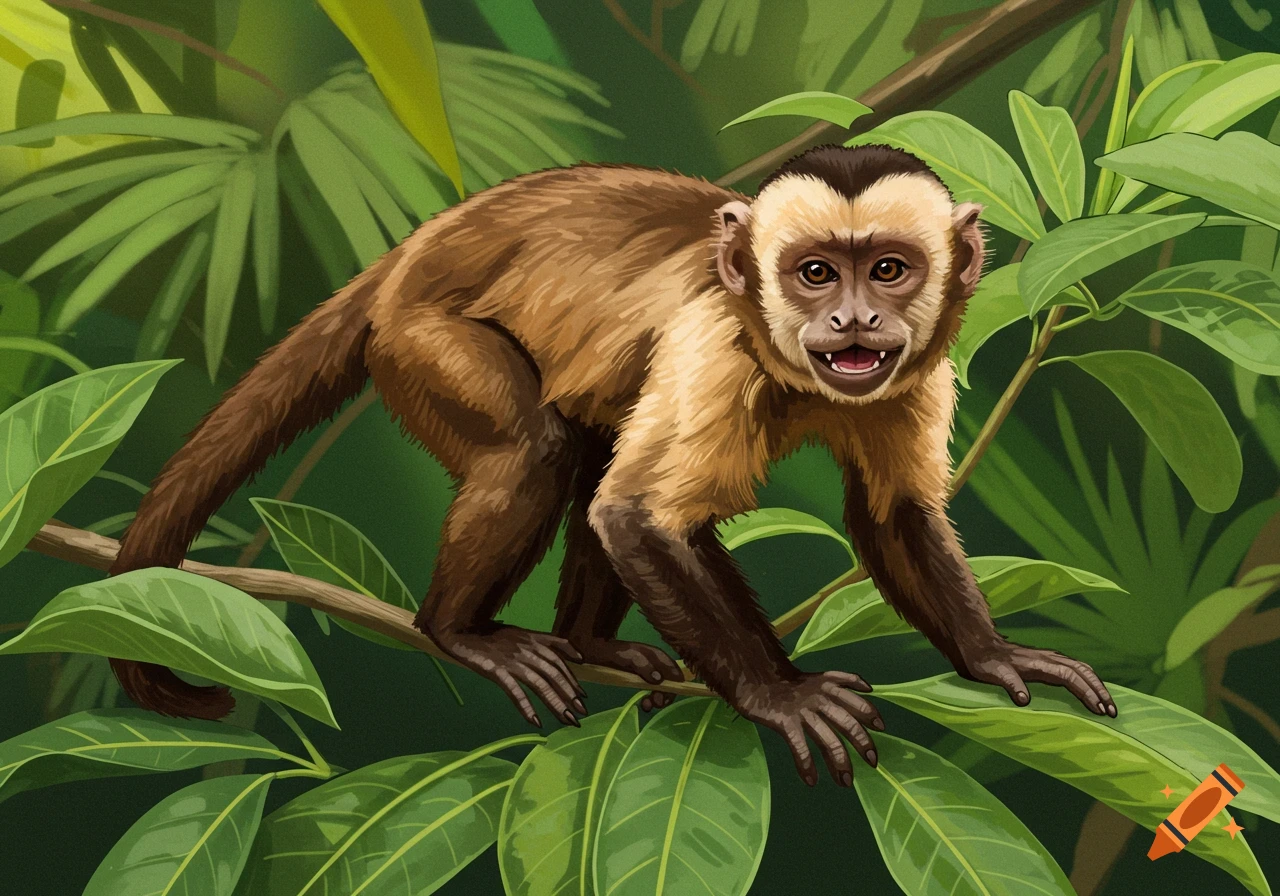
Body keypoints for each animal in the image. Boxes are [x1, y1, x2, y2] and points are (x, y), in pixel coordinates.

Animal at [108, 144, 1116, 787]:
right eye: (817, 273)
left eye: (891, 271)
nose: (855, 322)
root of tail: (406, 256)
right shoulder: (715, 342)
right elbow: (641, 519)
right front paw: (778, 695)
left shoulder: (921, 366)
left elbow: (893, 515)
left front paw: (990, 655)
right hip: (421, 340)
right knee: (538, 453)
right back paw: (458, 630)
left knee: (592, 449)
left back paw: (590, 644)